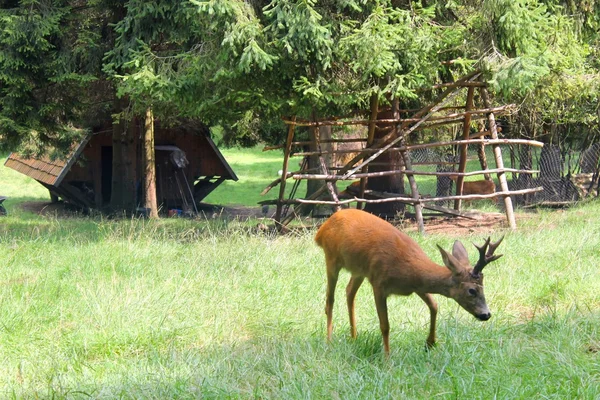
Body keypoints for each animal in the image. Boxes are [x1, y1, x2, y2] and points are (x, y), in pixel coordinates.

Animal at [314, 208, 502, 354]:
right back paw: (329, 341)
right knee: (329, 300)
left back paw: (354, 336)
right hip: (331, 258)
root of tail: (321, 230)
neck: (410, 270)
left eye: (483, 287)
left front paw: (430, 343)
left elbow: (434, 305)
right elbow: (385, 325)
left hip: (359, 270)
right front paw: (387, 359)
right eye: (472, 290)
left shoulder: (417, 286)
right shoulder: (379, 283)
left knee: (349, 292)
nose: (486, 314)